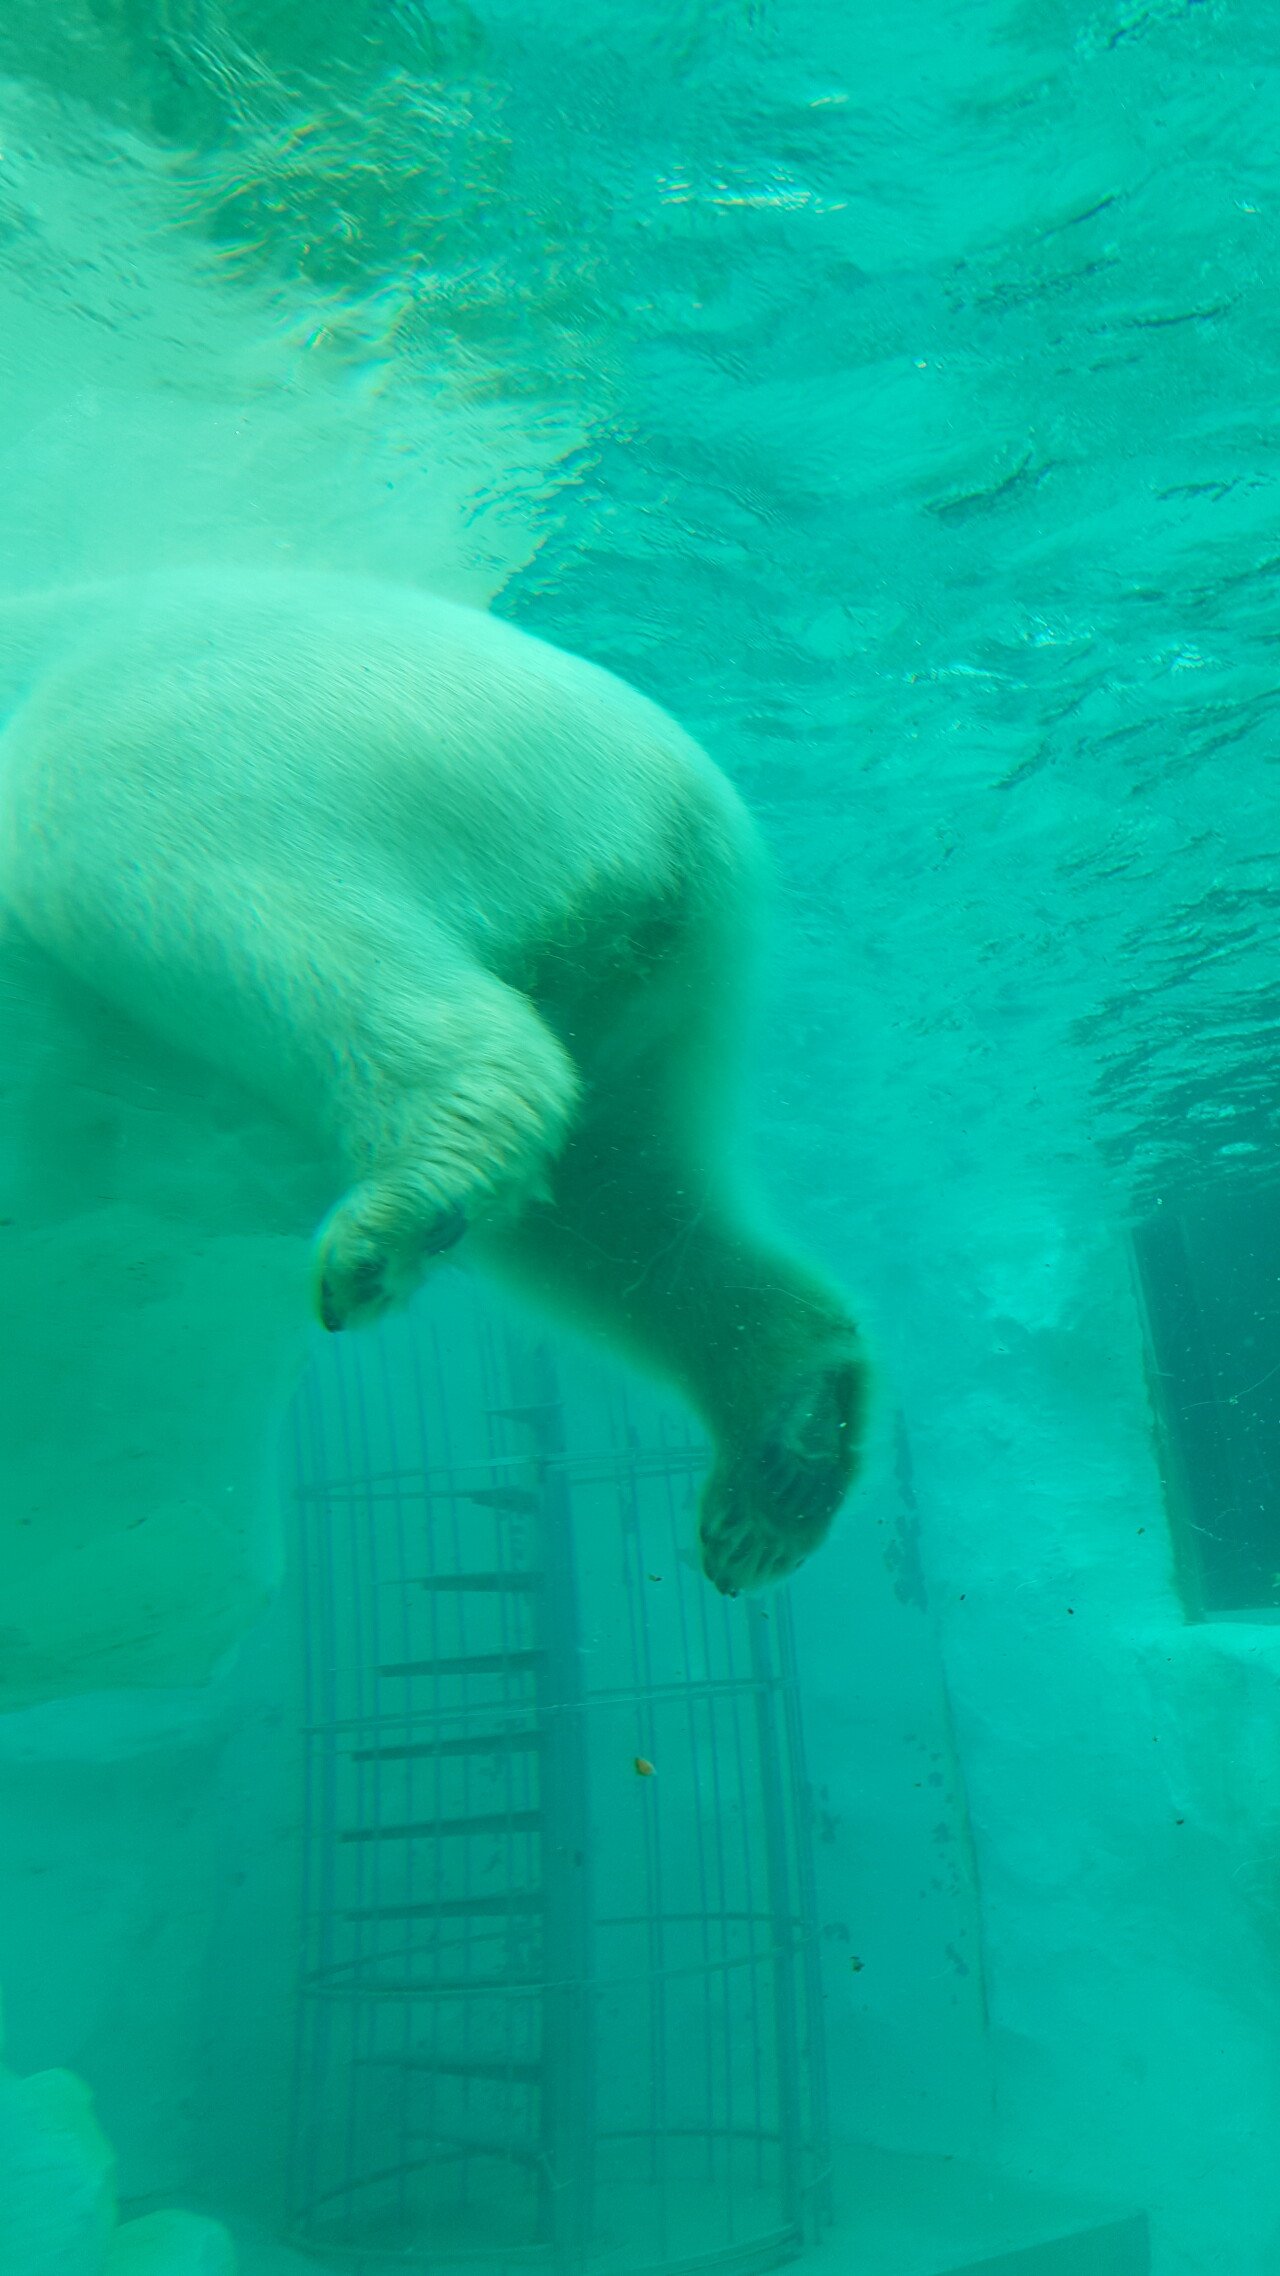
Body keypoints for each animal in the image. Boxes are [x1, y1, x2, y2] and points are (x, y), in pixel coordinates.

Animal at [0, 569, 865, 1593]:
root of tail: (665, 787)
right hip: (654, 990)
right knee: (626, 1208)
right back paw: (785, 1452)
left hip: (254, 728)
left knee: (180, 864)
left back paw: (386, 1222)